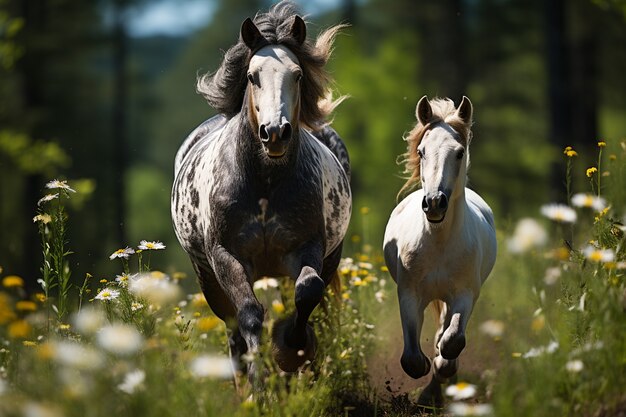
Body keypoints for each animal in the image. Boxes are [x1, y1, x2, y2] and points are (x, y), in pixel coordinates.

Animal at [171, 0, 348, 376]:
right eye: (253, 76)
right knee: (232, 328)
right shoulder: (225, 257)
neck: (264, 185)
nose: (275, 132)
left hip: (319, 260)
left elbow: (307, 292)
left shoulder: (308, 247)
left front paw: (293, 347)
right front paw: (259, 379)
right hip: (207, 275)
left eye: (297, 75)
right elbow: (249, 316)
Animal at [382, 95, 494, 406]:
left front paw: (442, 368)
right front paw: (424, 376)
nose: (434, 203)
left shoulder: (465, 295)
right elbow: (411, 358)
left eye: (459, 152)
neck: (438, 243)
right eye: (421, 151)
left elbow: (453, 340)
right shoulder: (409, 294)